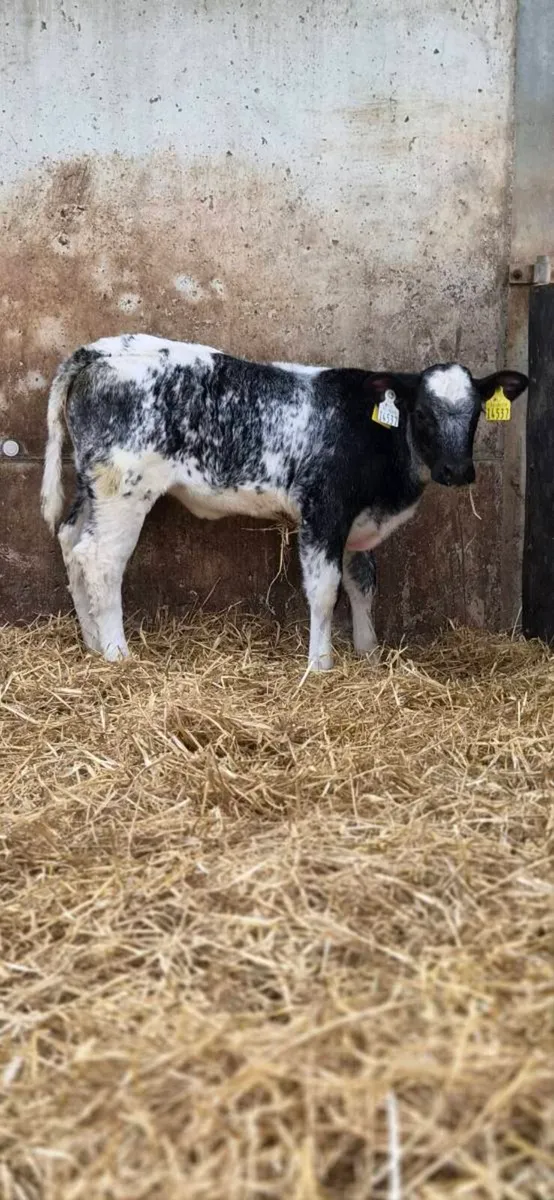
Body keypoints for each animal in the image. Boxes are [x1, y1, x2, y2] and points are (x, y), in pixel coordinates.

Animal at [40, 334, 528, 669]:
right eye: (422, 413)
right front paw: (321, 664)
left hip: (92, 486)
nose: (457, 471)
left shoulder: (355, 525)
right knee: (101, 559)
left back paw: (91, 641)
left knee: (71, 543)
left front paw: (368, 653)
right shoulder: (323, 511)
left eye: (477, 413)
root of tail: (100, 350)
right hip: (124, 489)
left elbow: (363, 583)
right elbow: (325, 590)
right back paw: (116, 652)